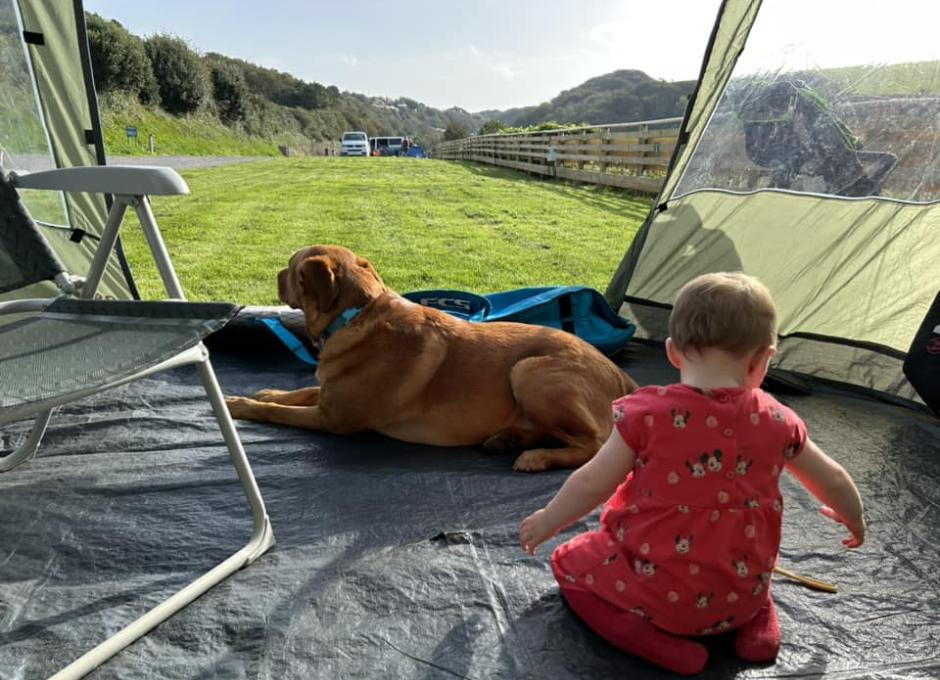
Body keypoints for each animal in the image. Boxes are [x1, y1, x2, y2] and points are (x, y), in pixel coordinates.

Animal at [226, 246, 640, 472]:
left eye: (292, 266)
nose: (277, 273)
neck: (358, 313)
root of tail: (625, 379)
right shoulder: (330, 395)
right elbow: (299, 392)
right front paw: (268, 392)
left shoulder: (333, 419)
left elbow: (278, 411)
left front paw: (241, 404)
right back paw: (508, 439)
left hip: (530, 371)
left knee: (595, 445)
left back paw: (536, 457)